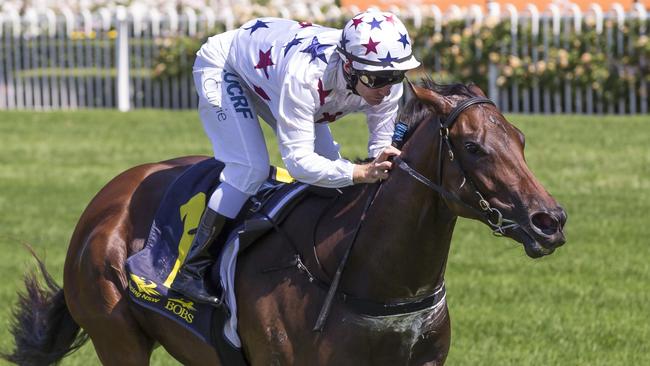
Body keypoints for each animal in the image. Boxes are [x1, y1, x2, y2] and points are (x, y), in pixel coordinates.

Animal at [2, 81, 564, 364]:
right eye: (473, 147)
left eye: (520, 140)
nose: (550, 220)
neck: (362, 271)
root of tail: (103, 203)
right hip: (116, 336)